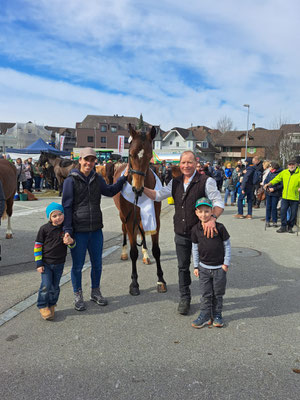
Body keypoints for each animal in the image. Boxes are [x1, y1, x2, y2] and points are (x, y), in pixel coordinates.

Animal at [113, 126, 168, 296]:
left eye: (150, 156)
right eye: (130, 154)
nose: (137, 189)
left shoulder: (155, 219)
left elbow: (156, 250)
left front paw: (161, 280)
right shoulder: (130, 220)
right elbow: (133, 252)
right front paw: (134, 283)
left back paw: (145, 255)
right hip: (123, 217)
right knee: (124, 232)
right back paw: (124, 252)